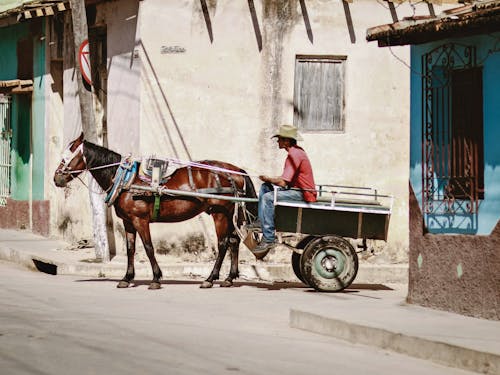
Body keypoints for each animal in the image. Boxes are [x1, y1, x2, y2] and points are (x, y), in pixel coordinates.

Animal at [53, 134, 258, 290]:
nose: (56, 178)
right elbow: (130, 249)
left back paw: (210, 279)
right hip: (229, 213)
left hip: (219, 213)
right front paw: (127, 278)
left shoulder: (140, 220)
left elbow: (148, 247)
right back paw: (229, 278)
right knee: (234, 242)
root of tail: (236, 171)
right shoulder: (128, 221)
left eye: (68, 156)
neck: (125, 179)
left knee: (223, 243)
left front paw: (156, 279)